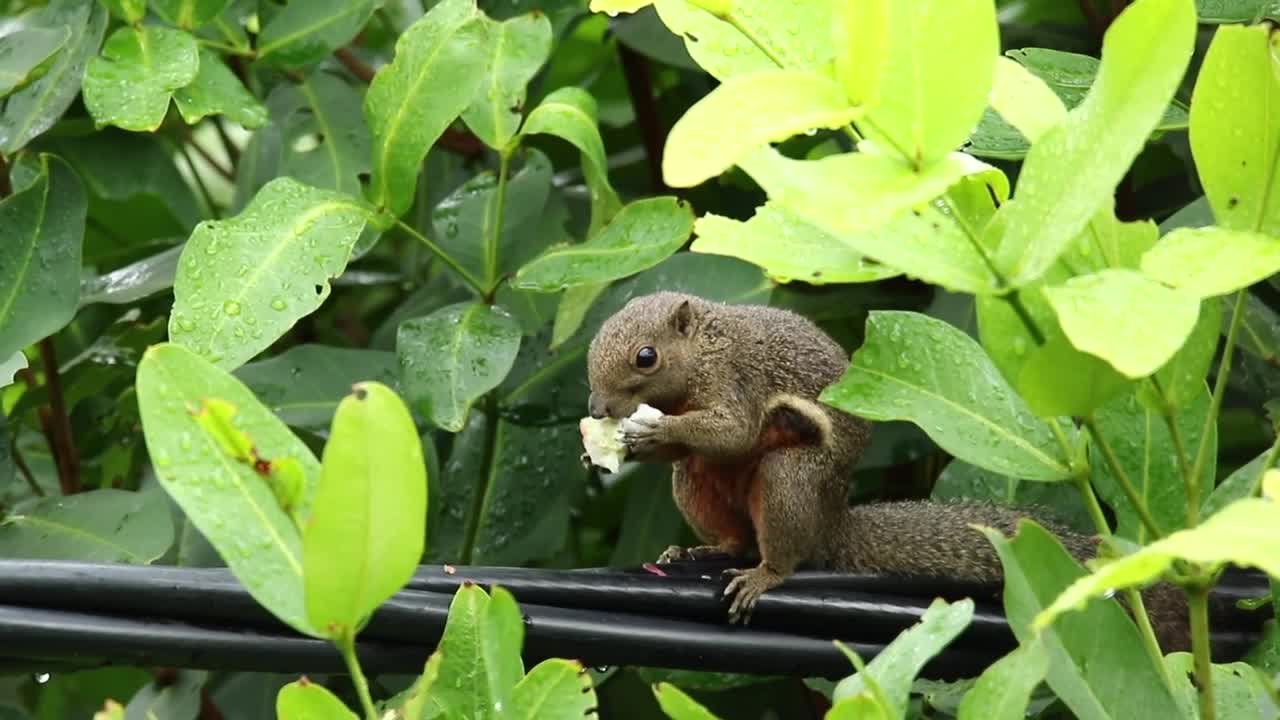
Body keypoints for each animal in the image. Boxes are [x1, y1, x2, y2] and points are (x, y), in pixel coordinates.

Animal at [586, 291, 1189, 651]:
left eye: (646, 357)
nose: (596, 408)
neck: (704, 351)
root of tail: (831, 520)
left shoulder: (736, 383)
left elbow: (733, 432)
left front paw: (651, 433)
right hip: (696, 487)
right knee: (731, 532)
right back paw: (699, 550)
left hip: (790, 479)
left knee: (779, 546)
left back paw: (764, 574)